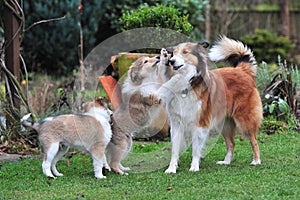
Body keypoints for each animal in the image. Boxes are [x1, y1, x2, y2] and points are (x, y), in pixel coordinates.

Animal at [155, 36, 262, 173]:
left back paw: (256, 161)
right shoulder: (176, 124)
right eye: (173, 53)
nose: (171, 61)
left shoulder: (200, 122)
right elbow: (174, 150)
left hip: (245, 119)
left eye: (185, 52)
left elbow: (196, 148)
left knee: (254, 140)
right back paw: (226, 162)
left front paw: (194, 167)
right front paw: (171, 169)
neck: (187, 82)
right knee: (231, 143)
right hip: (225, 124)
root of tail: (242, 70)